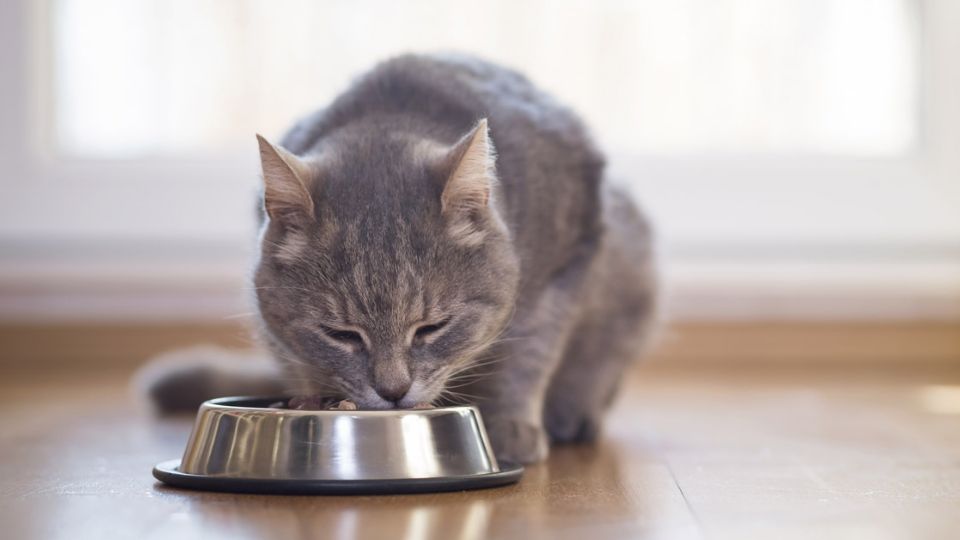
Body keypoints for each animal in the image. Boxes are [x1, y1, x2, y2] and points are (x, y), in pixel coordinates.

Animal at [144, 53, 660, 464]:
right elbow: (299, 358)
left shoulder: (564, 266)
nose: (393, 392)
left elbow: (528, 354)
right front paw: (312, 400)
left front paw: (512, 426)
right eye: (341, 334)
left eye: (432, 328)